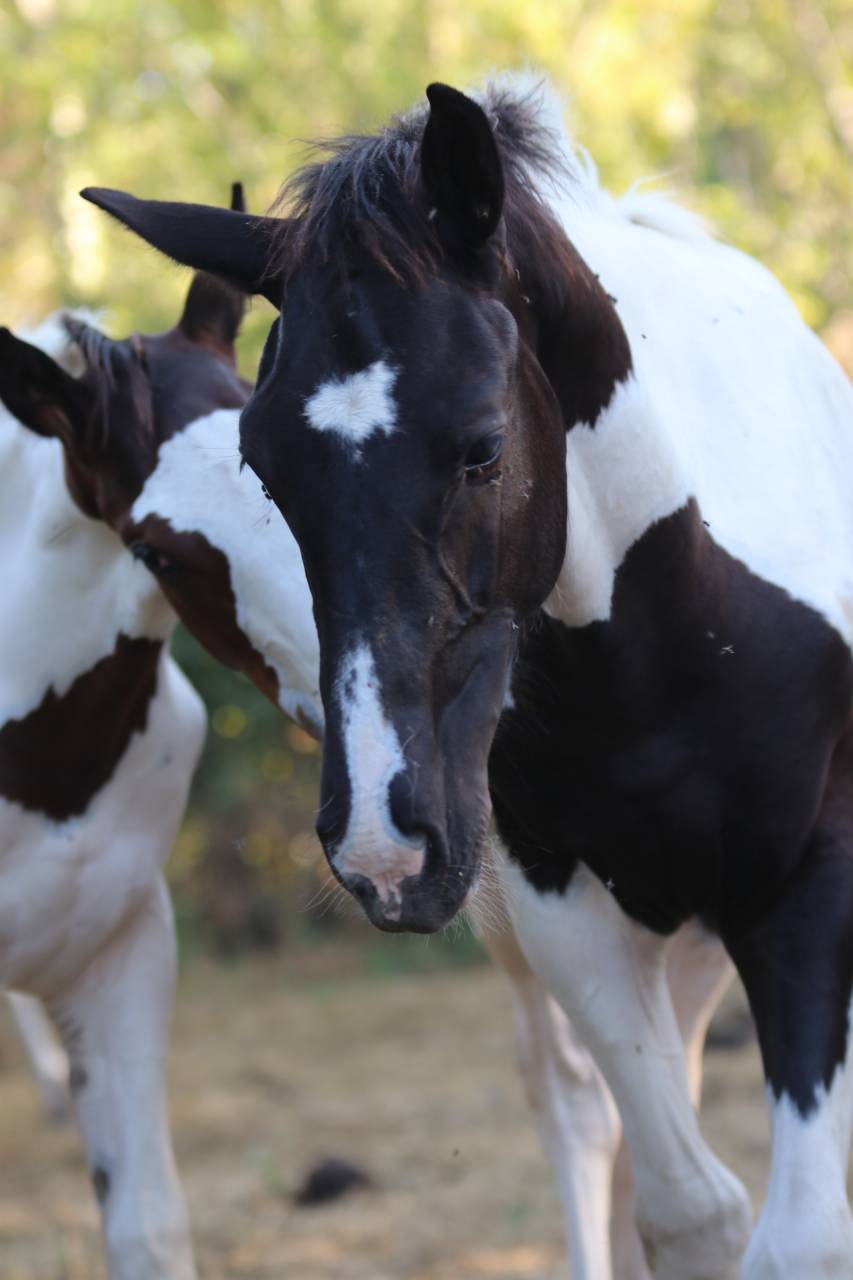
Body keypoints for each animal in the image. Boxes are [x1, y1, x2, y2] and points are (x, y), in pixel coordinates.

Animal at [86, 74, 853, 1277]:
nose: (381, 847)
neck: (672, 646)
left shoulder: (812, 890)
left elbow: (799, 1234)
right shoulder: (562, 910)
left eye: (484, 447)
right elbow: (688, 1205)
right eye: (265, 465)